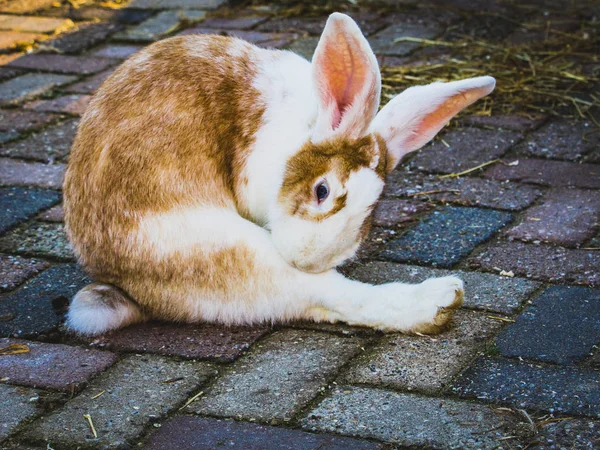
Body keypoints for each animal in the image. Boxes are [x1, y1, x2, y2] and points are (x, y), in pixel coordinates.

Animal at [64, 12, 496, 336]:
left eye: (372, 212)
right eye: (322, 191)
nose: (309, 260)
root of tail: (127, 289)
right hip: (224, 244)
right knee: (328, 294)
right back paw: (440, 300)